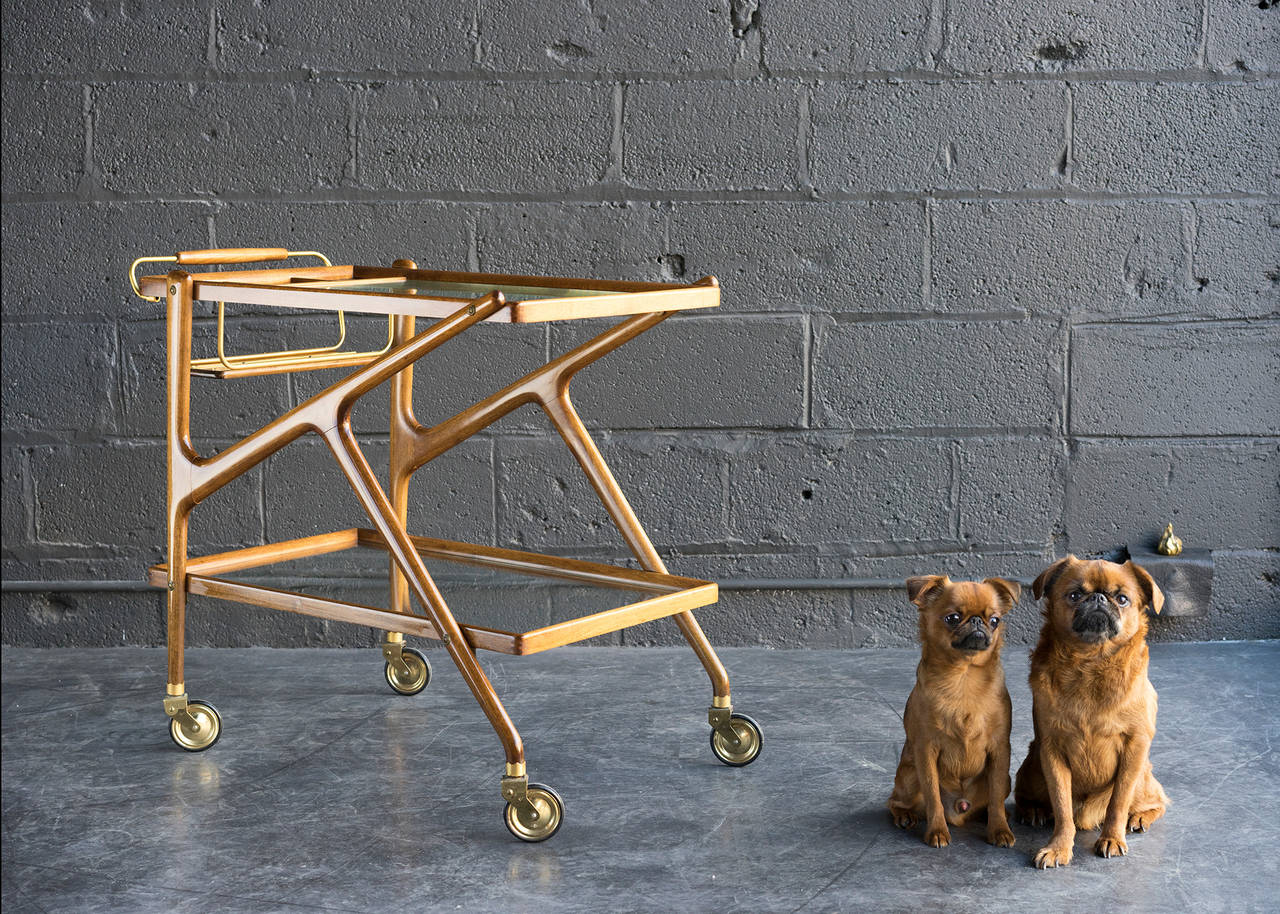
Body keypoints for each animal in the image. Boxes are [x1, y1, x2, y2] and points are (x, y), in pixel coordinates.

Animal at [890, 573, 1018, 844]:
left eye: (995, 620)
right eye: (953, 618)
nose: (978, 621)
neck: (963, 677)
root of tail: (961, 807)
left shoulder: (1000, 750)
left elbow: (995, 798)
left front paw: (999, 829)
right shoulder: (925, 751)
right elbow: (933, 797)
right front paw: (937, 831)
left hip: (1006, 779)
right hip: (909, 775)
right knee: (895, 800)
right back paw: (904, 815)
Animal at [1018, 553, 1172, 865]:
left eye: (1122, 599)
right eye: (1075, 595)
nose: (1099, 598)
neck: (1091, 663)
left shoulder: (1134, 747)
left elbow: (1119, 801)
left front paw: (1111, 838)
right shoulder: (1051, 751)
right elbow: (1062, 806)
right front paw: (1059, 846)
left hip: (1142, 774)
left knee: (1158, 800)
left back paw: (1140, 817)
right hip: (1032, 765)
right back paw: (1033, 810)